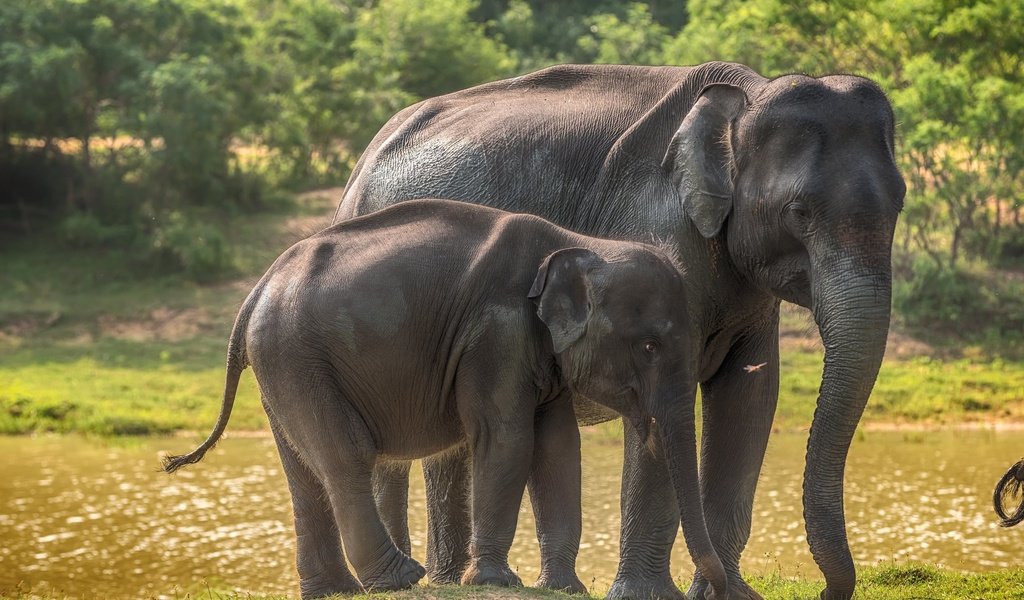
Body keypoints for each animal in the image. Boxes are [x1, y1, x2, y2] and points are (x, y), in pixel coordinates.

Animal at [161, 198, 729, 593]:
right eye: (650, 346)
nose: (721, 590)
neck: (580, 244)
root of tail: (255, 293)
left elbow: (558, 447)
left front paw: (563, 588)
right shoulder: (496, 333)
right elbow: (507, 438)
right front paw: (497, 583)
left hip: (280, 366)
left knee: (304, 472)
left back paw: (335, 591)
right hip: (297, 357)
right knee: (345, 457)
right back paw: (401, 579)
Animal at [323, 61, 901, 597]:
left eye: (899, 203)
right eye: (798, 212)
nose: (824, 591)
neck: (747, 95)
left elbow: (750, 396)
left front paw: (725, 595)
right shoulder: (659, 231)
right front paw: (652, 595)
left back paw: (449, 579)